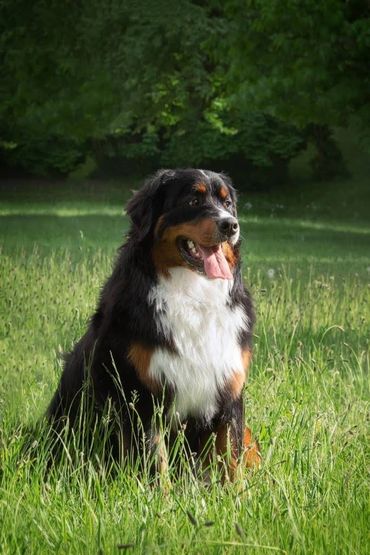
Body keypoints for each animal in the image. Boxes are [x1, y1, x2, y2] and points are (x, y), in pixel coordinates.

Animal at [47, 168, 260, 478]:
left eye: (227, 203)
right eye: (193, 201)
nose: (230, 225)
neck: (193, 294)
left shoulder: (229, 390)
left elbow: (231, 460)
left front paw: (238, 491)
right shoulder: (143, 395)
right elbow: (154, 461)